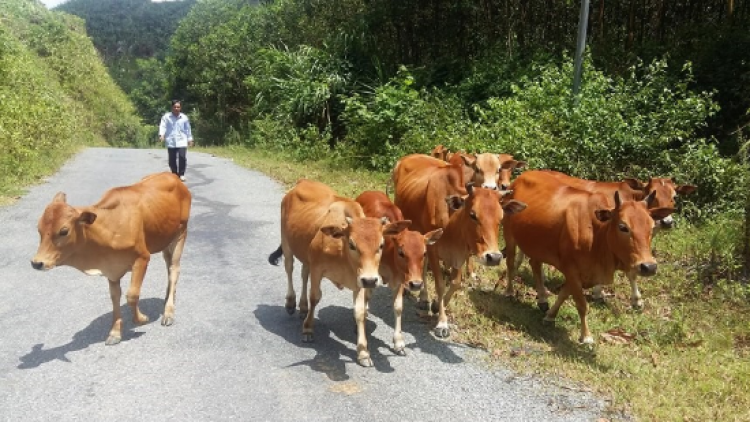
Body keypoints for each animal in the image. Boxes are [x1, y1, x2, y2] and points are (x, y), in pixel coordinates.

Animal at [30, 172, 192, 346]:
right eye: (39, 229)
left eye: (64, 231)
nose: (36, 263)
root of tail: (173, 176)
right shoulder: (111, 269)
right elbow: (115, 298)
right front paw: (115, 332)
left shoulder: (142, 258)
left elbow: (132, 295)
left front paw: (141, 319)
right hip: (165, 240)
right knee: (168, 267)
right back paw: (167, 297)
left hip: (181, 233)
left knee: (174, 270)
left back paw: (168, 312)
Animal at [270, 178, 412, 366]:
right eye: (352, 244)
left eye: (381, 245)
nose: (371, 280)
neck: (342, 253)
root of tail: (303, 181)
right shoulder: (318, 269)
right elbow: (315, 298)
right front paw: (308, 329)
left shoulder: (359, 281)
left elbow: (360, 312)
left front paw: (363, 352)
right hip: (286, 243)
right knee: (289, 268)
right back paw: (291, 303)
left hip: (305, 253)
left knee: (304, 274)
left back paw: (302, 307)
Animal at [356, 190, 444, 352]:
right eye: (401, 252)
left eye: (424, 253)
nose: (416, 284)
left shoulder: (400, 280)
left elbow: (398, 308)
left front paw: (398, 341)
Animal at [506, 171, 676, 342]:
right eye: (623, 227)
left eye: (651, 227)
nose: (650, 267)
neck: (596, 232)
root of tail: (523, 175)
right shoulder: (571, 269)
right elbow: (582, 304)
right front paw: (586, 336)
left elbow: (563, 294)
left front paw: (550, 315)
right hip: (510, 235)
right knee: (511, 262)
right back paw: (509, 292)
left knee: (534, 263)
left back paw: (542, 298)